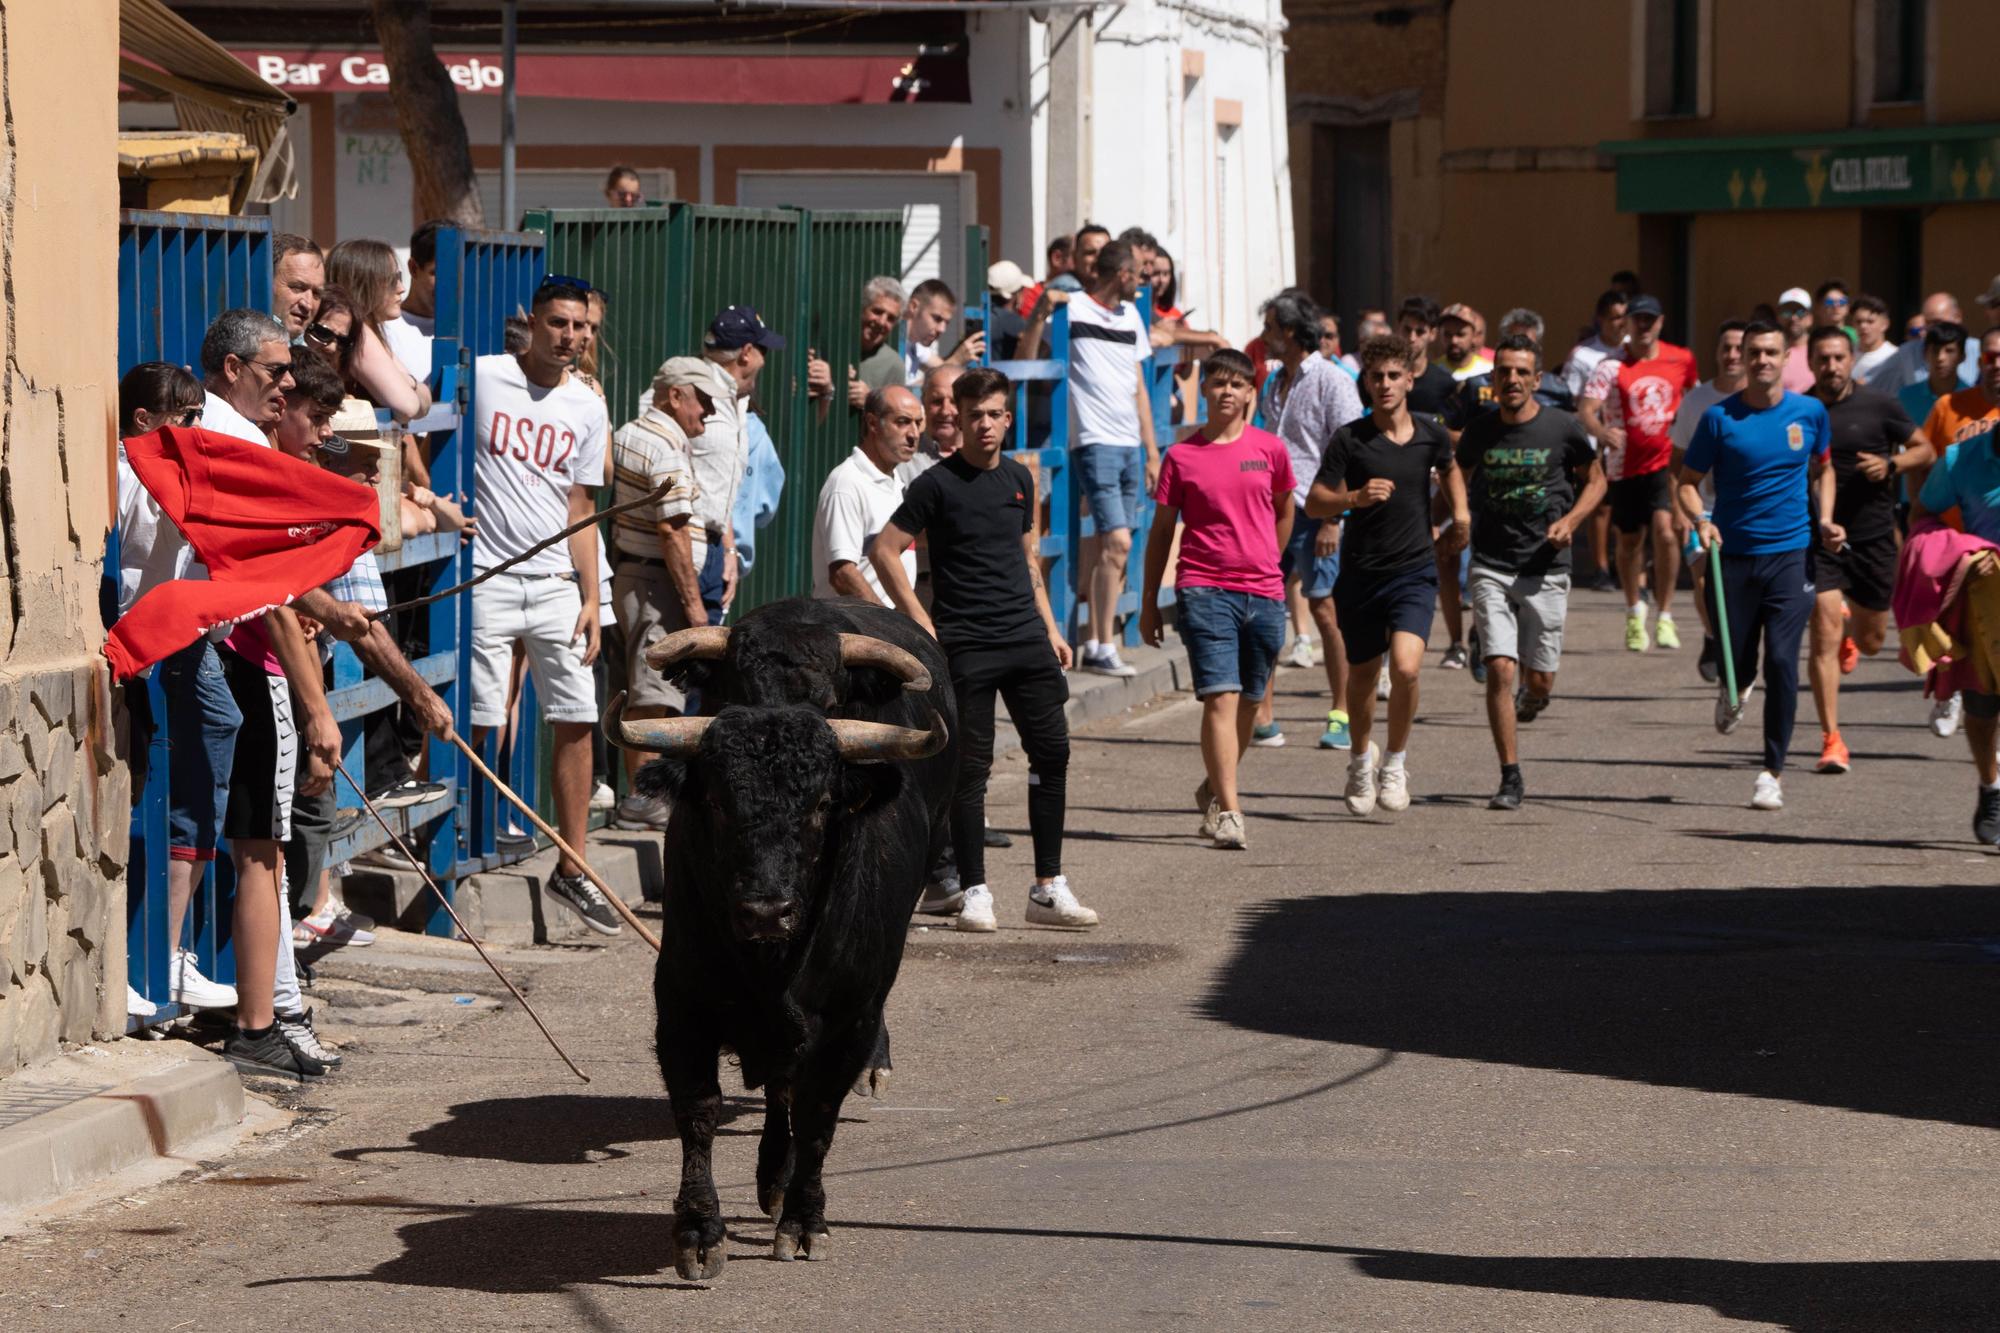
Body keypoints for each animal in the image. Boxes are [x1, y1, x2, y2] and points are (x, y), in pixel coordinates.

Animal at [604, 596, 956, 1272]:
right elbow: (699, 1110)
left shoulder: (846, 1017)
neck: (771, 964)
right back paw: (770, 1175)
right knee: (777, 1088)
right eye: (716, 802)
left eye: (820, 804)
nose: (767, 911)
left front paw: (804, 1219)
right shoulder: (682, 1004)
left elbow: (818, 1113)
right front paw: (698, 1230)